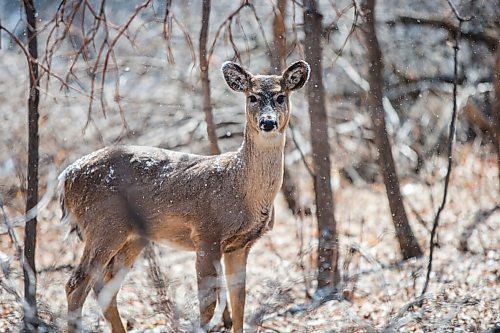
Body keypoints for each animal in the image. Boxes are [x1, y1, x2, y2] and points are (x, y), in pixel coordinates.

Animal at [58, 60, 308, 332]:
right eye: (252, 97)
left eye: (281, 96)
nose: (268, 123)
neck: (240, 188)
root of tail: (66, 177)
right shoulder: (206, 234)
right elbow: (208, 304)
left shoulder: (241, 245)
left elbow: (239, 301)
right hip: (103, 225)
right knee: (75, 284)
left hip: (131, 237)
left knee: (104, 287)